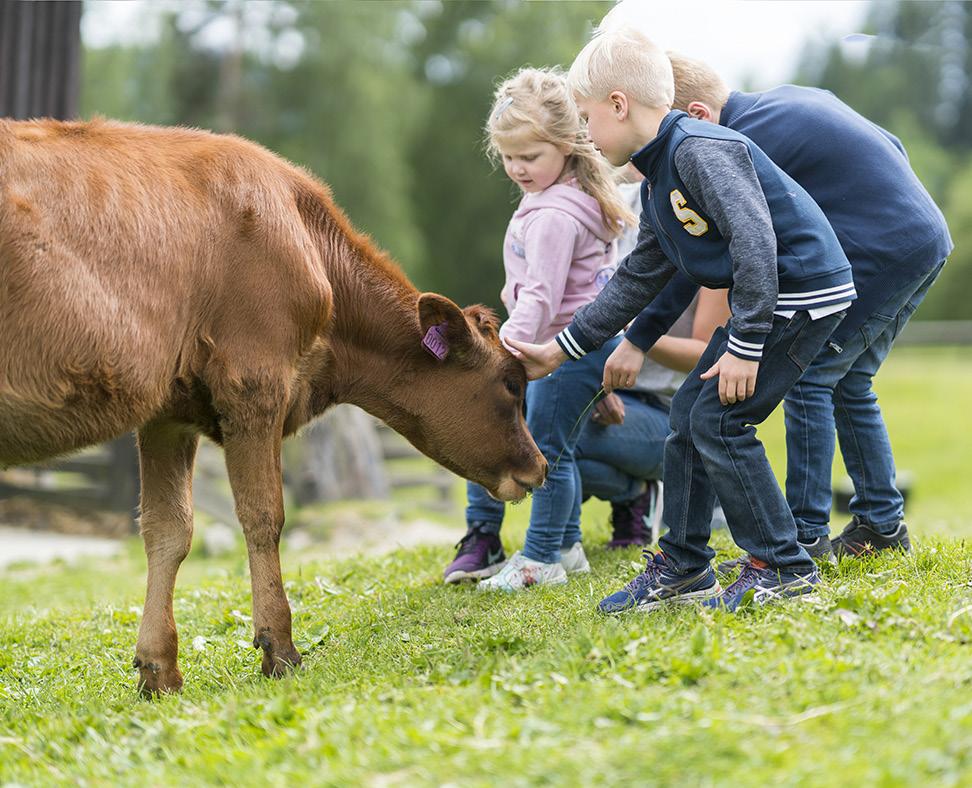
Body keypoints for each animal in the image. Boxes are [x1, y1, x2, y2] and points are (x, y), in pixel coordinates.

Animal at [0, 118, 548, 696]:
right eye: (512, 383)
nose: (539, 466)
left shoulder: (168, 413)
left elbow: (168, 530)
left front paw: (159, 670)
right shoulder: (254, 384)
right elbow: (264, 516)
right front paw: (279, 648)